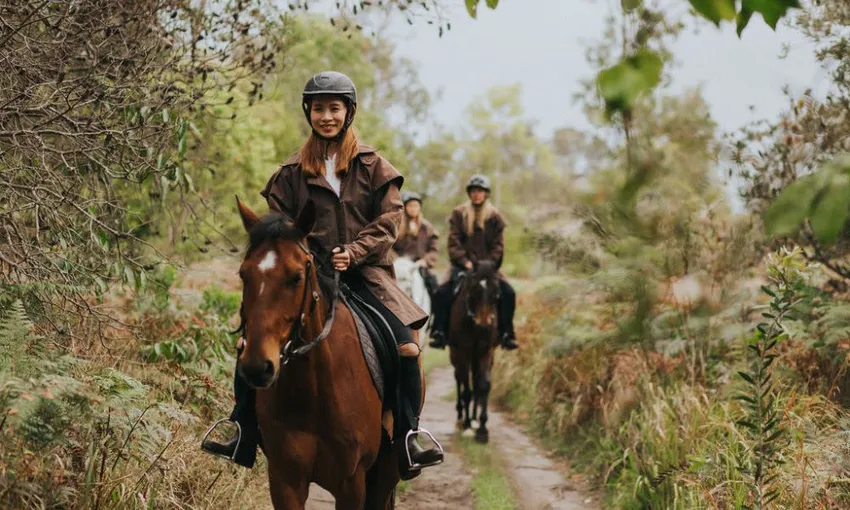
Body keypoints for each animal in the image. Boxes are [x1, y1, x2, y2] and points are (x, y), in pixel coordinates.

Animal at [234, 198, 402, 510]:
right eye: (243, 274)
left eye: (296, 277)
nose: (256, 367)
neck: (313, 389)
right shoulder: (285, 478)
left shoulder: (351, 482)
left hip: (385, 473)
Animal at [448, 260, 501, 444]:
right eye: (474, 289)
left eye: (495, 290)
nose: (484, 324)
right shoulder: (463, 352)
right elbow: (466, 390)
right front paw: (467, 426)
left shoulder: (486, 351)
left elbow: (482, 385)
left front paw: (482, 430)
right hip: (456, 355)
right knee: (459, 379)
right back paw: (461, 418)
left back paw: (474, 419)